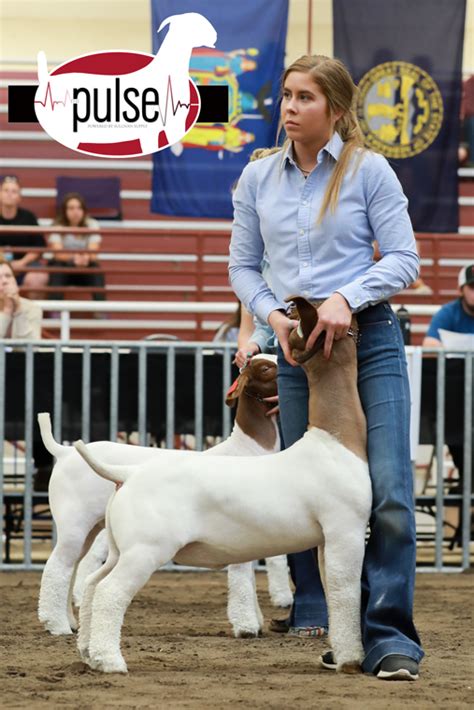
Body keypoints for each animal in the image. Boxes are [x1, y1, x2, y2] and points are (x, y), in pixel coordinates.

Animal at [38, 356, 292, 640]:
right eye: (266, 368)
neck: (247, 448)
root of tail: (65, 452)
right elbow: (241, 578)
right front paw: (246, 627)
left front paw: (256, 622)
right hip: (73, 522)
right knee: (56, 568)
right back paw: (56, 625)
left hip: (91, 527)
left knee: (70, 567)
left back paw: (70, 622)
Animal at [74, 298, 372, 676]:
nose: (351, 309)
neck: (333, 439)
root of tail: (127, 474)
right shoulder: (344, 531)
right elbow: (346, 593)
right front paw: (351, 660)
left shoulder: (324, 541)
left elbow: (333, 593)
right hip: (145, 550)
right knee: (110, 592)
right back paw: (109, 660)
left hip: (118, 548)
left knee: (93, 585)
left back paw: (88, 653)